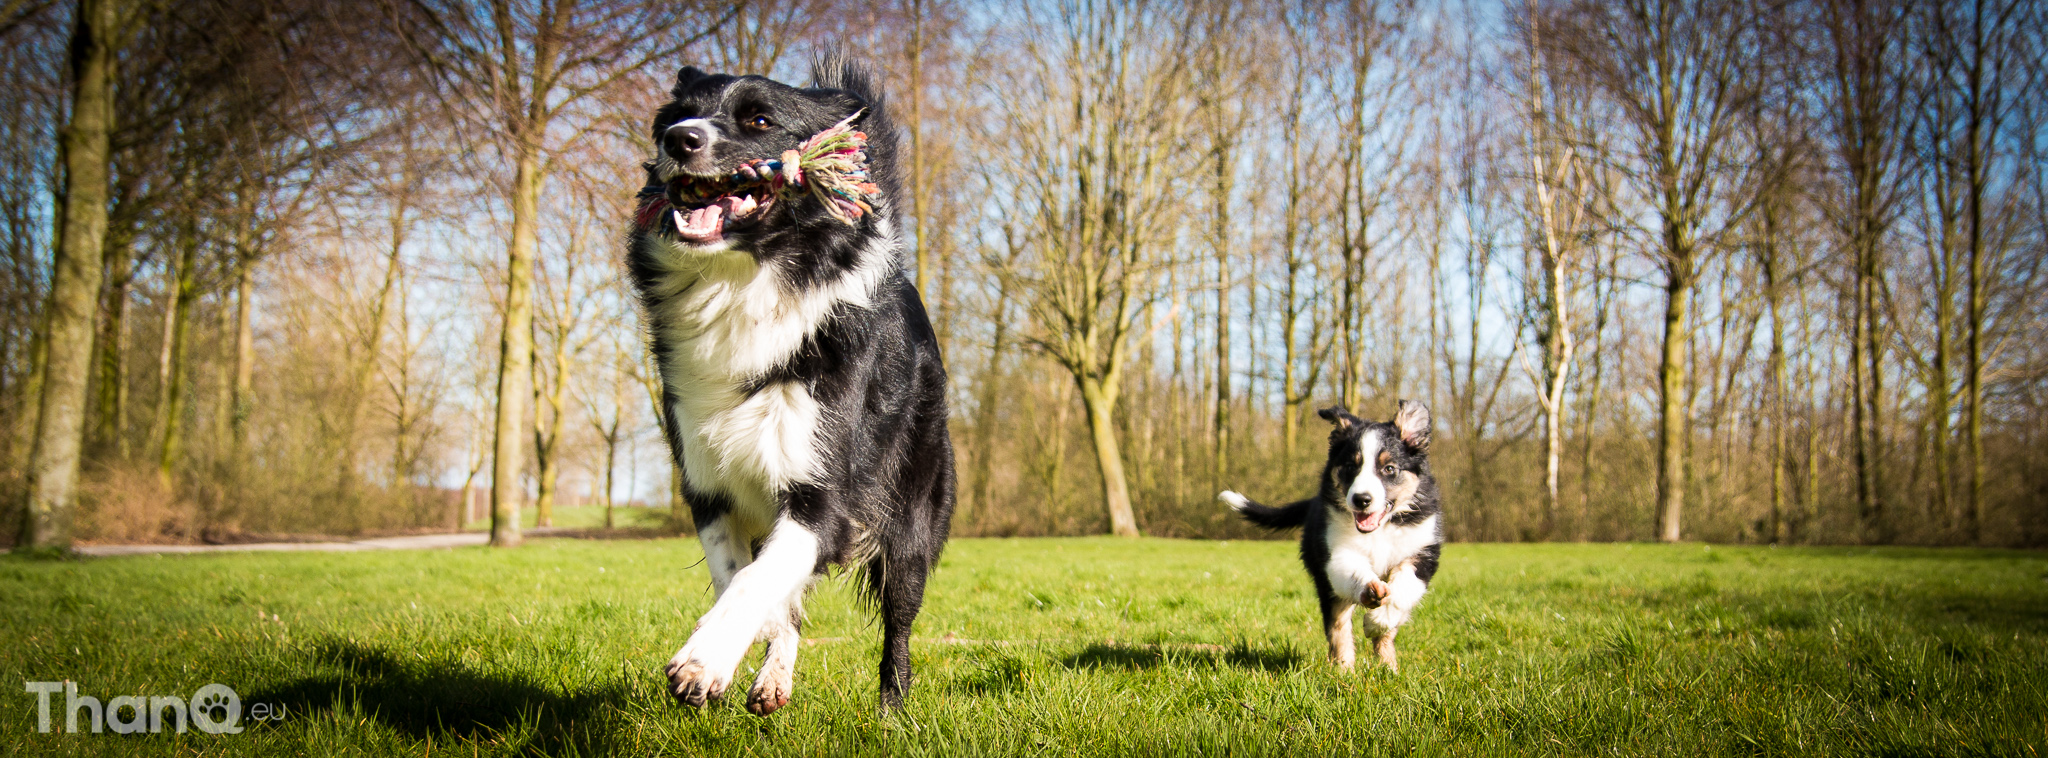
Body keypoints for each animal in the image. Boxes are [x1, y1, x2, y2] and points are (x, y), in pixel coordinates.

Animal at [622, 56, 950, 712]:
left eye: (759, 121)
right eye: (673, 119)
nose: (680, 140)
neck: (742, 285)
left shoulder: (823, 496)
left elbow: (757, 580)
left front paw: (703, 659)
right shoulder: (708, 489)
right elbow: (742, 578)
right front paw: (743, 651)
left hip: (911, 521)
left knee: (899, 625)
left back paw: (893, 713)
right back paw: (776, 673)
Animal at [1212, 399, 1441, 671]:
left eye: (1389, 468)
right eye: (1351, 467)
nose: (1361, 500)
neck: (1381, 529)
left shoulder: (1423, 551)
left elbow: (1403, 589)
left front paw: (1377, 621)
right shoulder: (1335, 553)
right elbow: (1353, 572)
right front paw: (1370, 590)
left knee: (1386, 631)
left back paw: (1388, 667)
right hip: (1324, 582)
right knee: (1338, 627)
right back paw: (1344, 670)